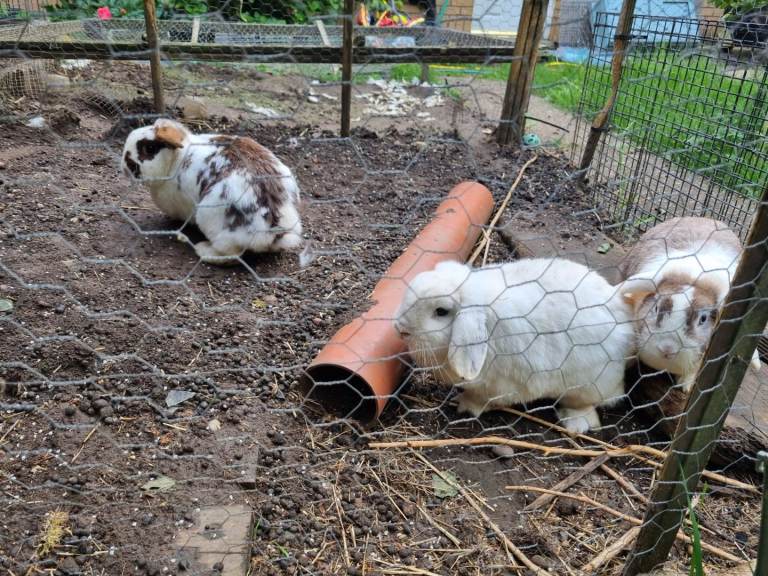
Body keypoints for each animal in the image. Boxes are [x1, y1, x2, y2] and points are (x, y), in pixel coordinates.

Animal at [120, 118, 302, 263]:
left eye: (149, 149)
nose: (124, 166)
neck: (177, 160)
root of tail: (273, 227)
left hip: (209, 218)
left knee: (231, 255)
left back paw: (202, 250)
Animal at [394, 258, 637, 433]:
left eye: (441, 311)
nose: (400, 328)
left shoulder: (494, 386)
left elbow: (479, 399)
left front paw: (463, 405)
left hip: (587, 384)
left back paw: (575, 422)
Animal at [619, 216, 761, 392]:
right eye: (656, 308)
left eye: (703, 319)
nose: (667, 349)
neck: (694, 278)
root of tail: (707, 218)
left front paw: (686, 386)